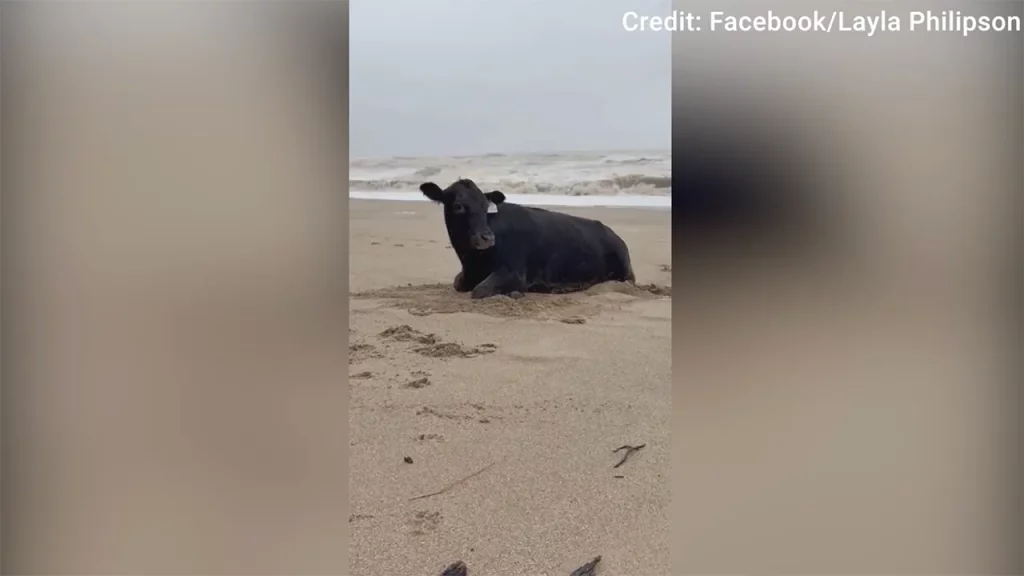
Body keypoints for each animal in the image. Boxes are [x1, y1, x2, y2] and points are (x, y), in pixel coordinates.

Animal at [419, 178, 635, 299]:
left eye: (485, 205)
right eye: (458, 206)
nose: (487, 237)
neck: (472, 261)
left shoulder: (515, 271)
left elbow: (480, 290)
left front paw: (514, 293)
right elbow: (458, 283)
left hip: (624, 272)